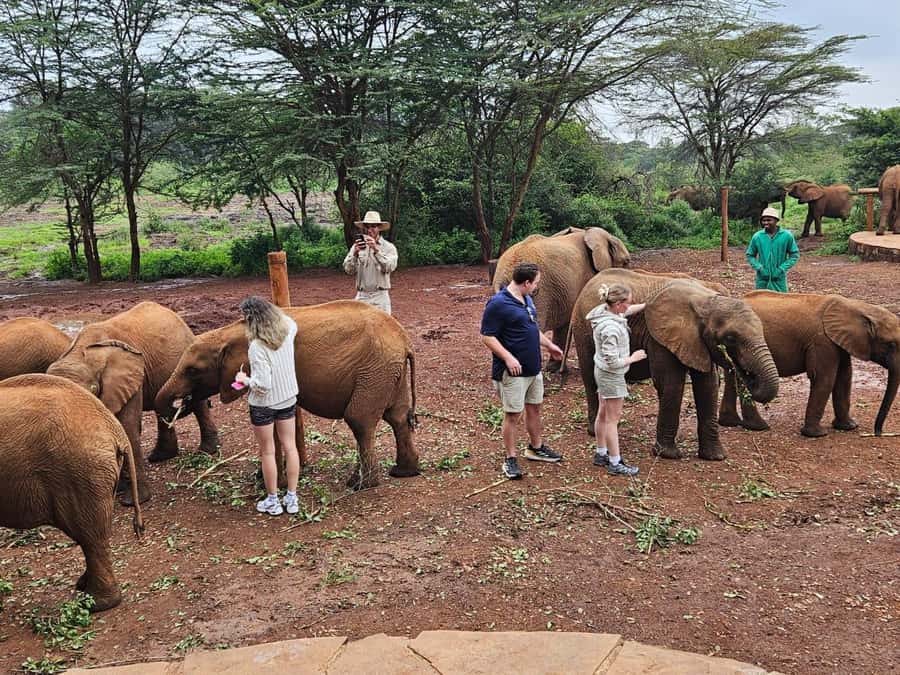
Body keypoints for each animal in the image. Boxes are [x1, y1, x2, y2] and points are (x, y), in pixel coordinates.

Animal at [47, 301, 218, 505]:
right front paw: (118, 488)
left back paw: (206, 452)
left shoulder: (129, 376)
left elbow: (127, 427)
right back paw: (160, 457)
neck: (83, 354)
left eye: (93, 390)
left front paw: (131, 501)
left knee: (197, 402)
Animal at [156, 300, 420, 491]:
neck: (229, 332)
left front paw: (270, 484)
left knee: (359, 420)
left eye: (192, 371)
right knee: (397, 417)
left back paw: (360, 485)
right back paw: (404, 472)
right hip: (387, 371)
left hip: (375, 370)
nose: (182, 402)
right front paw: (265, 479)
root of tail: (405, 340)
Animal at [569, 269, 779, 460]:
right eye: (730, 339)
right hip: (583, 331)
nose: (746, 372)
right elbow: (671, 383)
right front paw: (667, 455)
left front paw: (715, 456)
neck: (706, 302)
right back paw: (595, 431)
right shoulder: (659, 338)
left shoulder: (698, 341)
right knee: (591, 378)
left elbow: (708, 386)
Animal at [719, 291, 900, 437]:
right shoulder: (822, 342)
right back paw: (758, 427)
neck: (857, 307)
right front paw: (817, 435)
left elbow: (844, 378)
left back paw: (730, 423)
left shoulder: (839, 343)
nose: (878, 433)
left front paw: (849, 427)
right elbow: (825, 379)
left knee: (732, 376)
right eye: (890, 345)